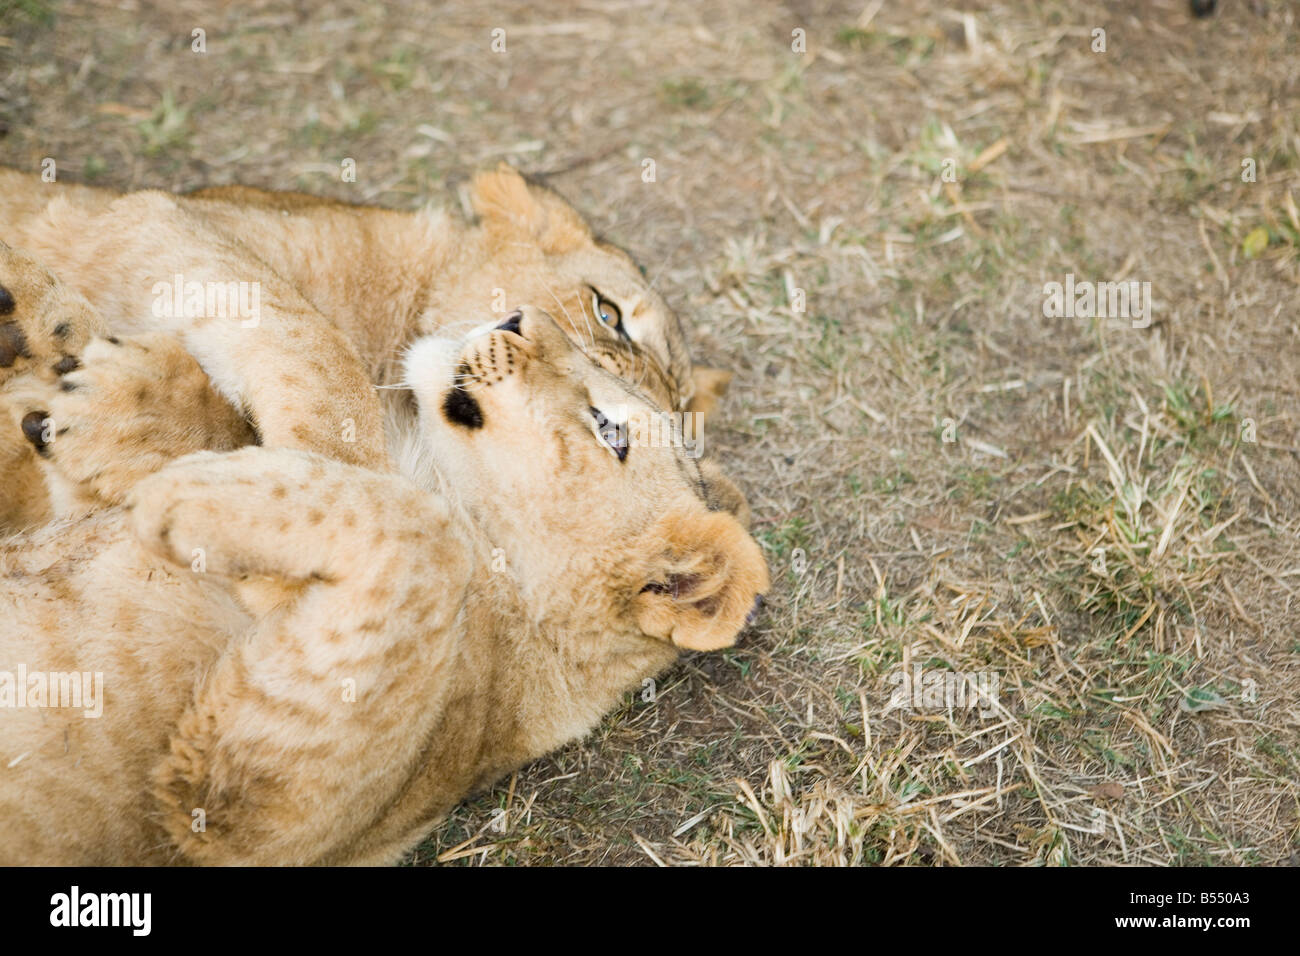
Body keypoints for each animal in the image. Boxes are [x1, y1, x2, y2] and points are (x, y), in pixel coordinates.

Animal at [0, 306, 768, 865]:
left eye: (610, 429)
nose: (519, 316)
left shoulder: (238, 817)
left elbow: (421, 533)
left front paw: (186, 493)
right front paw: (122, 395)